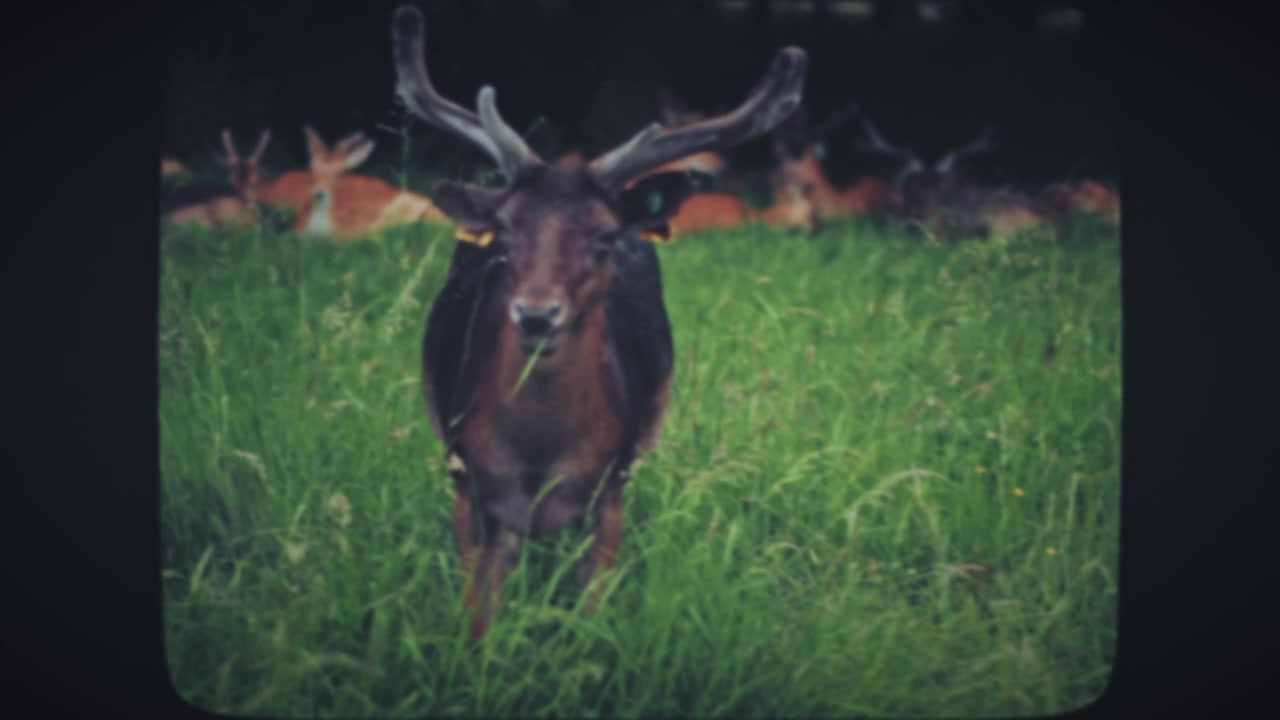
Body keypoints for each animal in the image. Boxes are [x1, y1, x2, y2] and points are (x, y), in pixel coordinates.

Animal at [389, 4, 807, 641]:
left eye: (605, 236)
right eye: (505, 231)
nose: (536, 314)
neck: (537, 460)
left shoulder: (610, 491)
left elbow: (590, 620)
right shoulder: (466, 484)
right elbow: (478, 620)